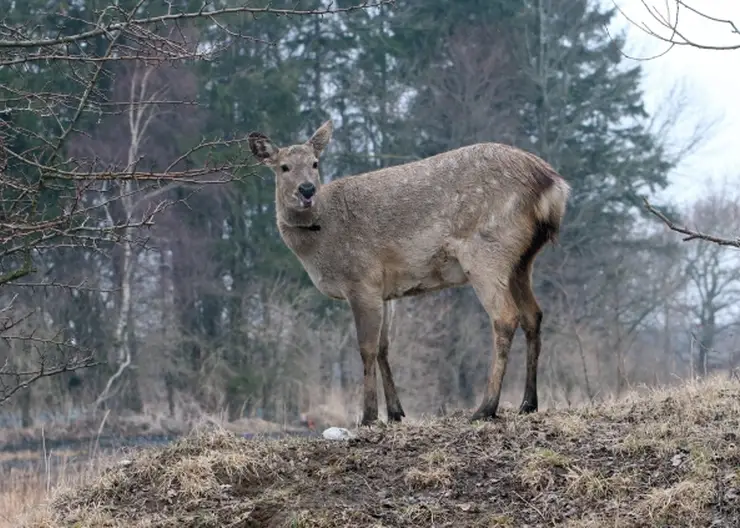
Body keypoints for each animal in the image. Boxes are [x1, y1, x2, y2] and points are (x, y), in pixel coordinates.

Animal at [250, 118, 572, 424]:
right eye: (284, 167)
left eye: (315, 163)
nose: (307, 190)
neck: (321, 240)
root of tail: (551, 185)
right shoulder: (385, 291)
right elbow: (384, 347)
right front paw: (395, 413)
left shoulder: (361, 279)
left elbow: (366, 347)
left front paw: (368, 416)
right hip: (522, 261)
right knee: (533, 315)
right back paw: (527, 403)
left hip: (486, 251)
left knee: (505, 317)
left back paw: (486, 408)